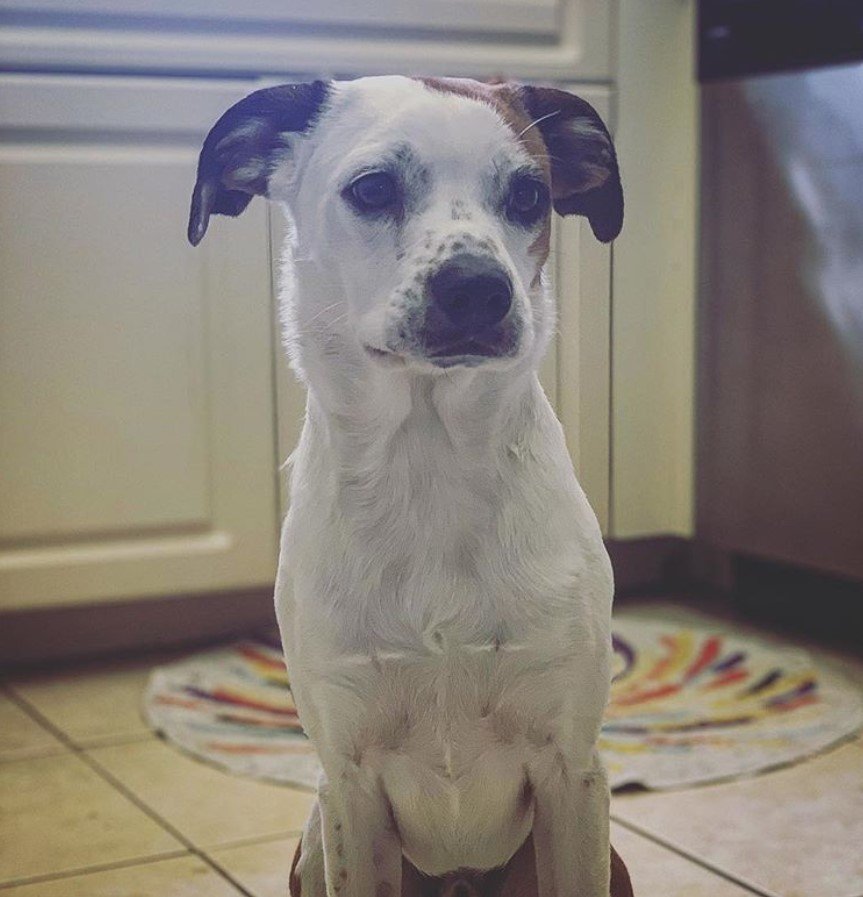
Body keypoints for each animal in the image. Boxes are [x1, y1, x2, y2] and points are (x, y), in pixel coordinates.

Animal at [189, 75, 632, 896]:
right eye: (372, 188)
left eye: (529, 194)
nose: (479, 290)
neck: (430, 464)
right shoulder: (349, 785)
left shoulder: (572, 772)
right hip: (310, 841)